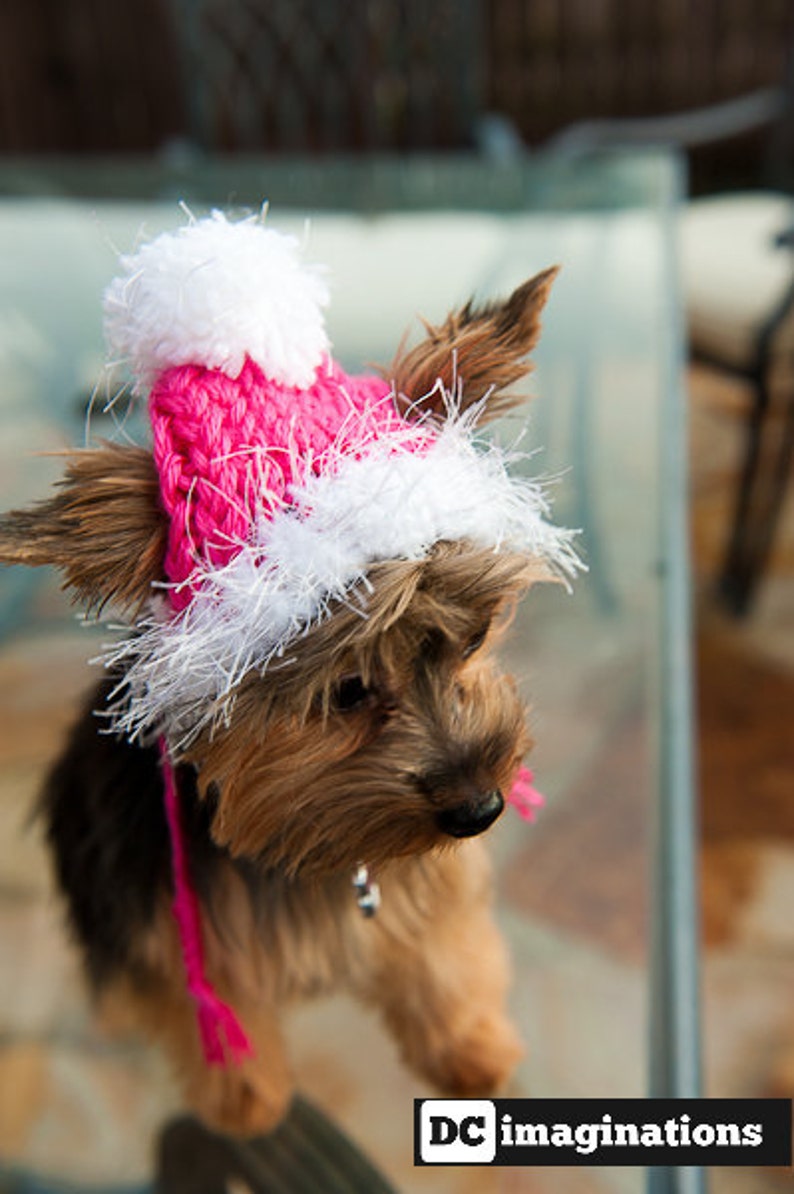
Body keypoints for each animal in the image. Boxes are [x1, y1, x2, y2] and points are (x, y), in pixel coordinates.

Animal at [0, 210, 573, 1131]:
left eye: (474, 635)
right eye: (346, 691)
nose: (482, 809)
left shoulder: (429, 894)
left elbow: (443, 956)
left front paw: (470, 1051)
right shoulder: (173, 925)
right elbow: (208, 1011)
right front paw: (248, 1104)